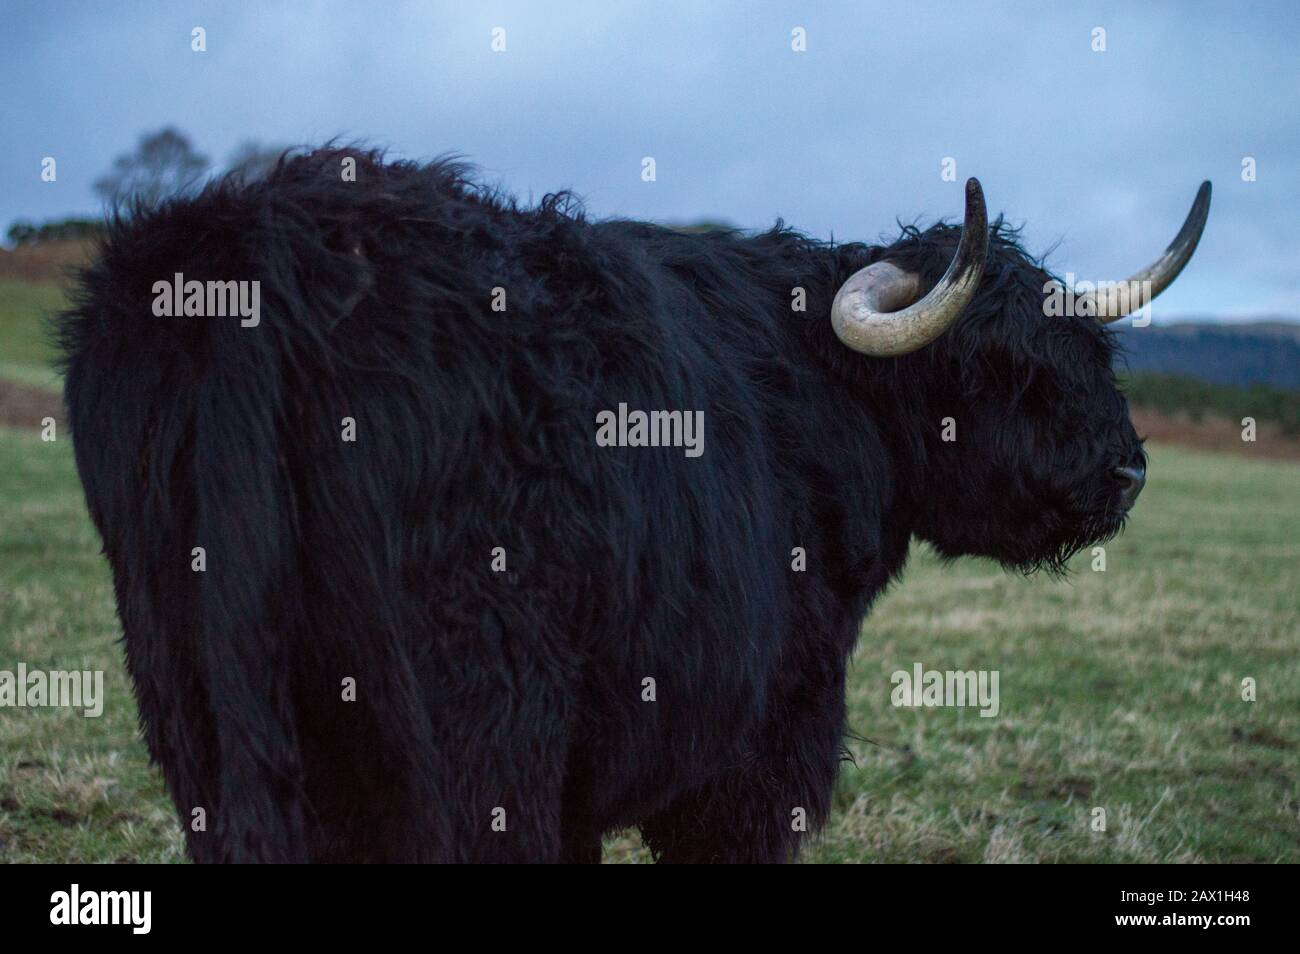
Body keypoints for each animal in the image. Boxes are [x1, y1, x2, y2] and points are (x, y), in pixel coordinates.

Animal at [50, 151, 1206, 868]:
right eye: (997, 368)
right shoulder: (764, 738)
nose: (1126, 473)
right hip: (479, 731)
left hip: (189, 699)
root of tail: (257, 255)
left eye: (1087, 347)